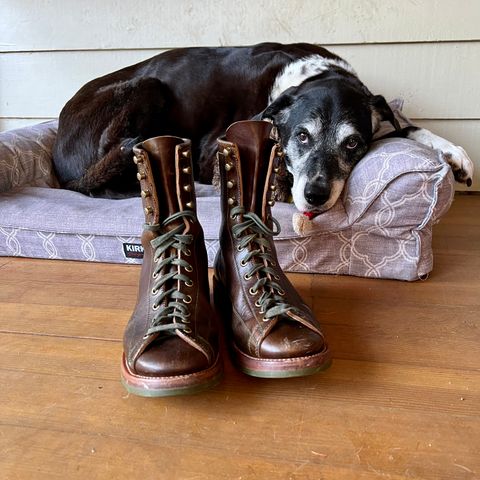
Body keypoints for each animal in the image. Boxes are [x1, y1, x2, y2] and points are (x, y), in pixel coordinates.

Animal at [52, 43, 472, 216]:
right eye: (301, 135)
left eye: (353, 144)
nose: (315, 195)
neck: (311, 75)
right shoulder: (213, 150)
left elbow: (406, 127)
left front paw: (453, 152)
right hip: (148, 86)